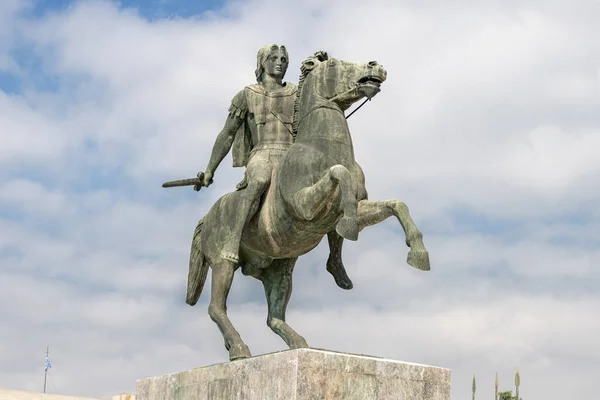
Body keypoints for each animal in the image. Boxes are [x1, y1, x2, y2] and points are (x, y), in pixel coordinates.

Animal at [185, 51, 428, 360]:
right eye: (334, 64)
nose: (376, 66)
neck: (322, 147)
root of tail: (207, 216)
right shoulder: (304, 207)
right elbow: (339, 173)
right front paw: (349, 226)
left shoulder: (357, 207)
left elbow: (397, 204)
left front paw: (418, 252)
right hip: (222, 262)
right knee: (217, 307)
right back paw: (239, 349)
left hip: (279, 271)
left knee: (274, 317)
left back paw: (298, 342)